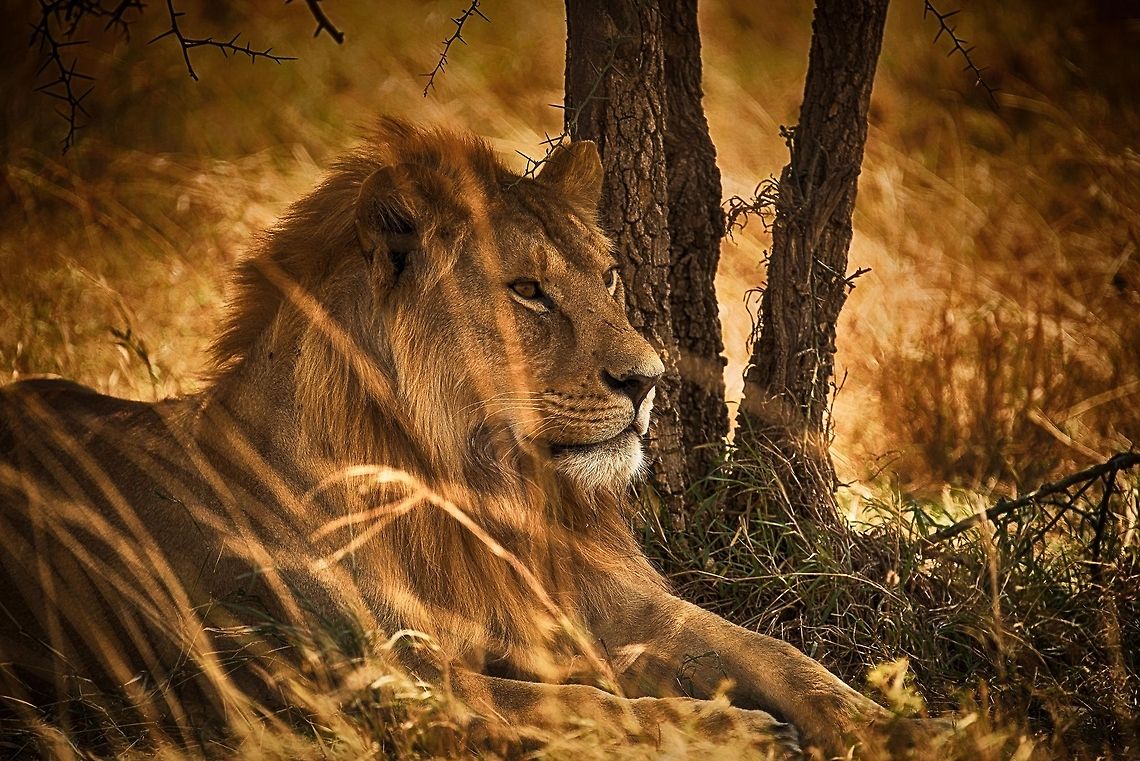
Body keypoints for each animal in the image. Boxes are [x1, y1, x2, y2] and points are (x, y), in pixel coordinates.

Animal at [0, 119, 921, 758]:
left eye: (606, 275)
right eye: (528, 291)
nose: (649, 379)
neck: (477, 485)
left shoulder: (605, 605)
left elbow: (772, 651)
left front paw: (902, 724)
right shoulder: (359, 671)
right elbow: (566, 702)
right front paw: (731, 731)